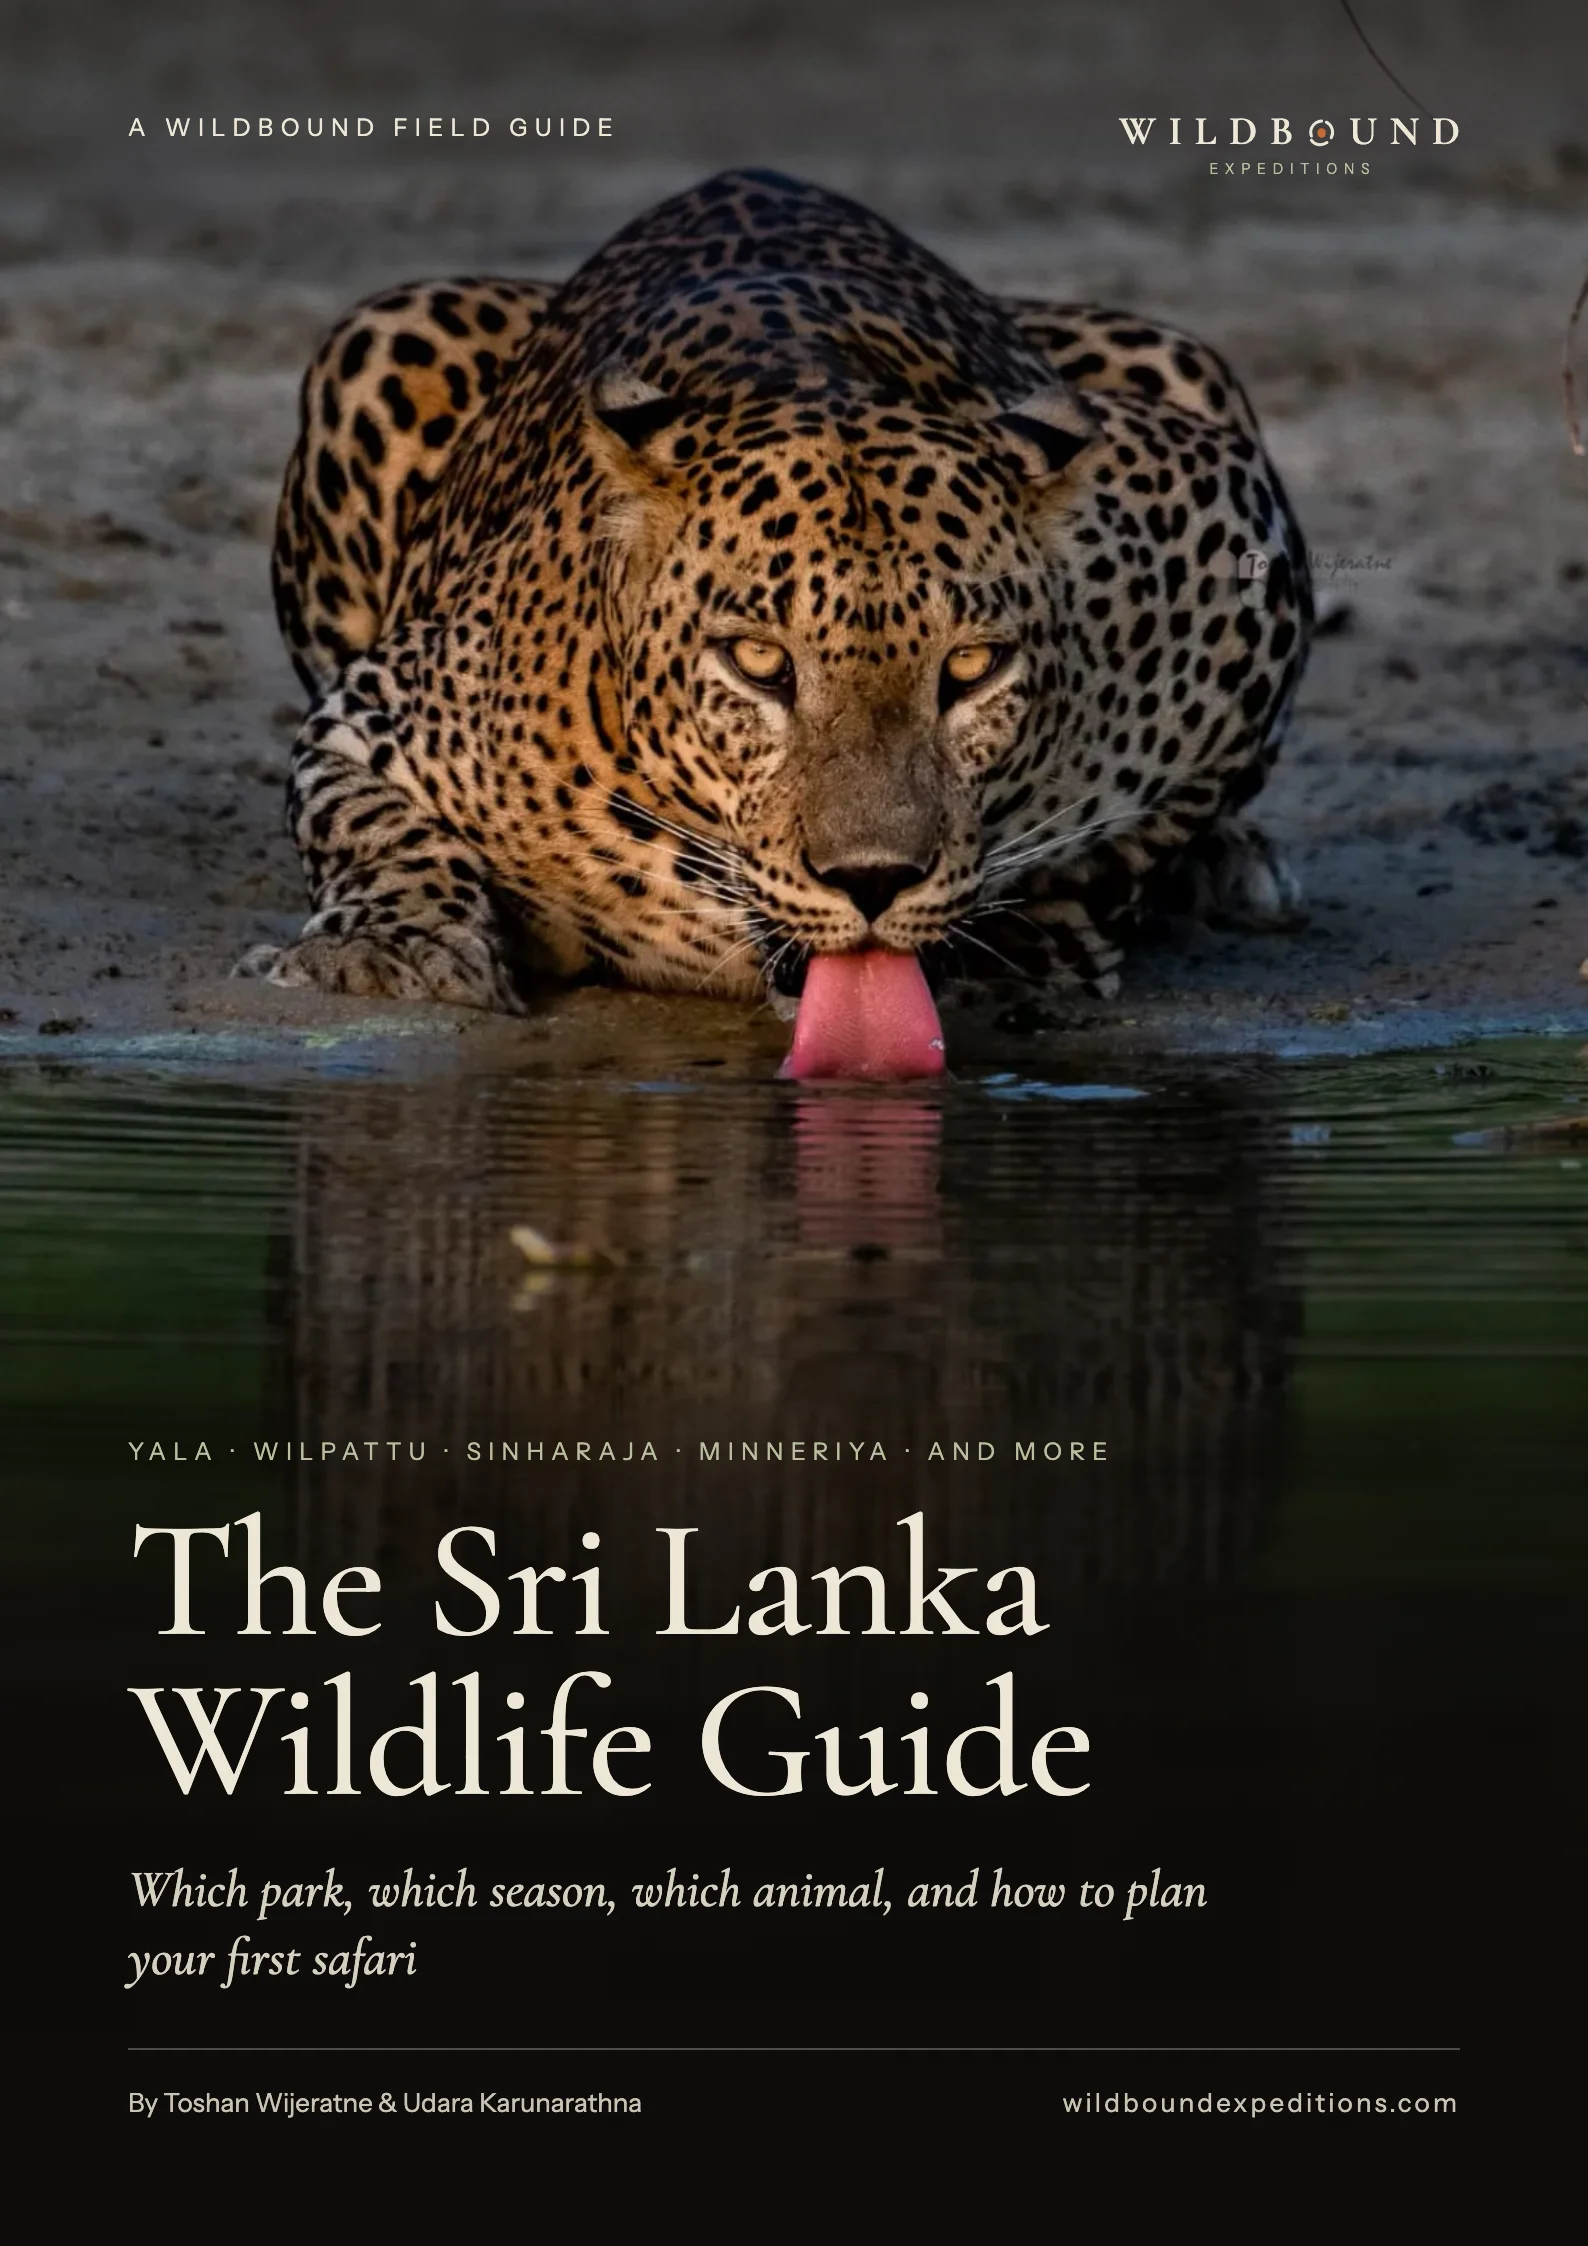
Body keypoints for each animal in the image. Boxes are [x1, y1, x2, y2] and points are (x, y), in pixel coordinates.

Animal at [241, 167, 1310, 1020]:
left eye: (971, 667)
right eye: (759, 661)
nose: (873, 882)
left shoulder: (1226, 522)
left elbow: (1136, 840)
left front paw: (1022, 942)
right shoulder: (373, 716)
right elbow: (370, 829)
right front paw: (394, 950)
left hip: (1185, 365)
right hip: (380, 334)